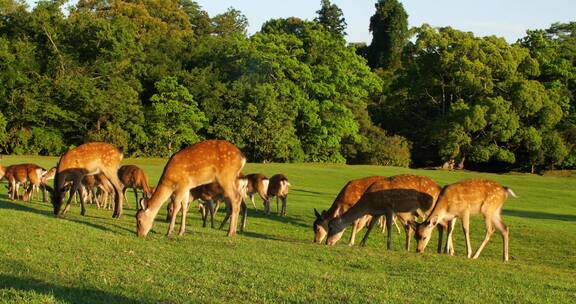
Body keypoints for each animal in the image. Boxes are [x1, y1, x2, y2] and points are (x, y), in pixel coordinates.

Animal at [324, 175, 454, 253]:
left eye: (331, 227)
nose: (327, 243)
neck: (369, 204)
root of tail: (439, 188)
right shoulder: (377, 212)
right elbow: (371, 226)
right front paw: (362, 243)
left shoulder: (388, 208)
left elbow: (389, 226)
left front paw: (389, 246)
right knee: (440, 226)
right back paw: (440, 250)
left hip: (431, 208)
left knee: (445, 224)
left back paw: (448, 251)